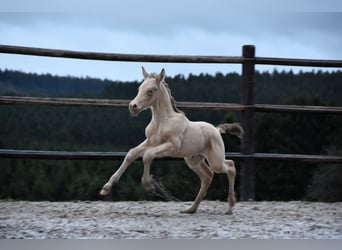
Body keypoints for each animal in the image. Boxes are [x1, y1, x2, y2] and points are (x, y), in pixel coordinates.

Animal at [100, 67, 244, 215]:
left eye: (150, 90)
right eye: (139, 88)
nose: (133, 106)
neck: (162, 122)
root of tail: (217, 130)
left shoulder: (172, 146)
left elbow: (148, 155)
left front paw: (149, 186)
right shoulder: (150, 142)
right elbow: (131, 154)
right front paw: (106, 187)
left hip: (215, 160)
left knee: (230, 166)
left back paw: (229, 207)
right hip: (193, 160)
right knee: (207, 176)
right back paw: (191, 209)